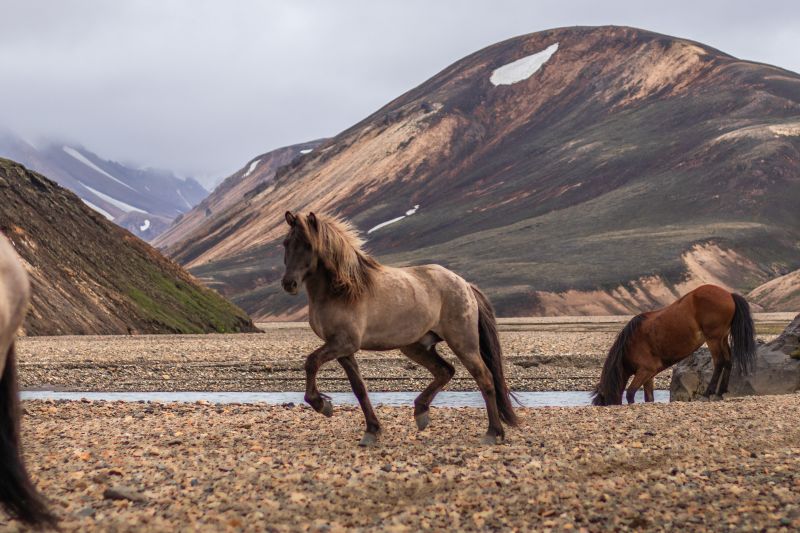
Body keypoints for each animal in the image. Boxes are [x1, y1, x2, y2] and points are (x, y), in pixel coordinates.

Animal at [282, 212, 520, 444]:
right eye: (286, 243)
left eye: (308, 245)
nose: (288, 283)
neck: (342, 290)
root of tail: (465, 284)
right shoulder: (343, 349)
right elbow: (359, 389)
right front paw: (372, 430)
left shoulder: (343, 343)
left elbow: (311, 362)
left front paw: (322, 405)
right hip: (415, 346)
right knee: (445, 371)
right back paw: (421, 412)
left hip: (463, 343)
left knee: (485, 378)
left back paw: (493, 433)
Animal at [592, 284, 756, 406]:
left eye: (603, 401)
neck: (630, 344)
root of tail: (728, 294)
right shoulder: (649, 375)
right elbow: (649, 398)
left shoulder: (644, 370)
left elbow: (630, 393)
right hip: (722, 338)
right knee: (728, 361)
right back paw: (721, 391)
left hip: (713, 339)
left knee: (720, 362)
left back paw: (708, 392)